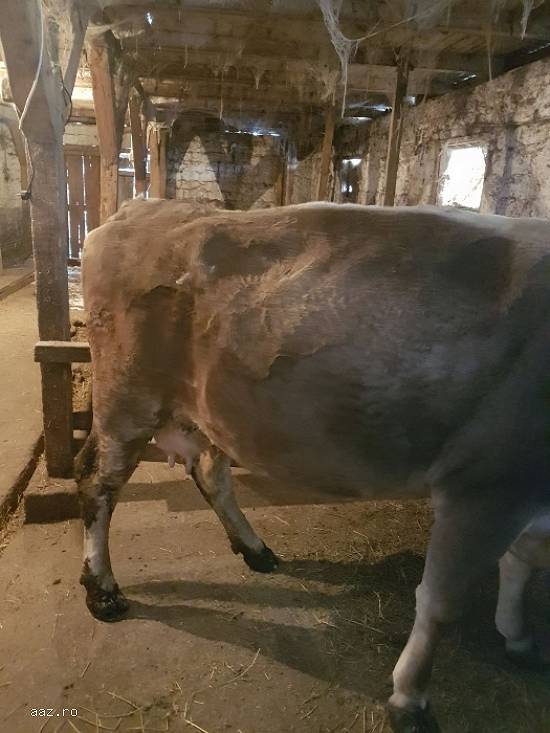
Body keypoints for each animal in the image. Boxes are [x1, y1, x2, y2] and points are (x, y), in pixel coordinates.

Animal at [77, 197, 550, 733]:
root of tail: (143, 206)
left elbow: (522, 562)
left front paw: (519, 637)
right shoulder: (484, 482)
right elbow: (442, 601)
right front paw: (409, 698)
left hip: (209, 408)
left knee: (208, 471)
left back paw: (256, 549)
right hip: (127, 397)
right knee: (97, 483)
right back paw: (102, 591)